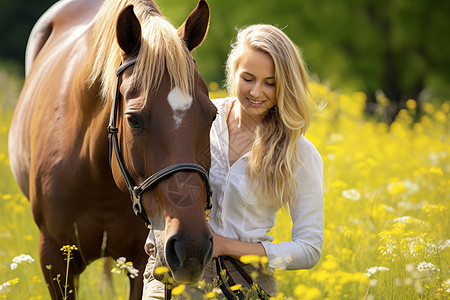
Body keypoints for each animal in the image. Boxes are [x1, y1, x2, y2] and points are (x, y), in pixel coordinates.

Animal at [7, 0, 216, 298]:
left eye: (212, 115)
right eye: (133, 119)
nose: (192, 246)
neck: (95, 172)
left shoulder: (142, 261)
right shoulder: (54, 258)